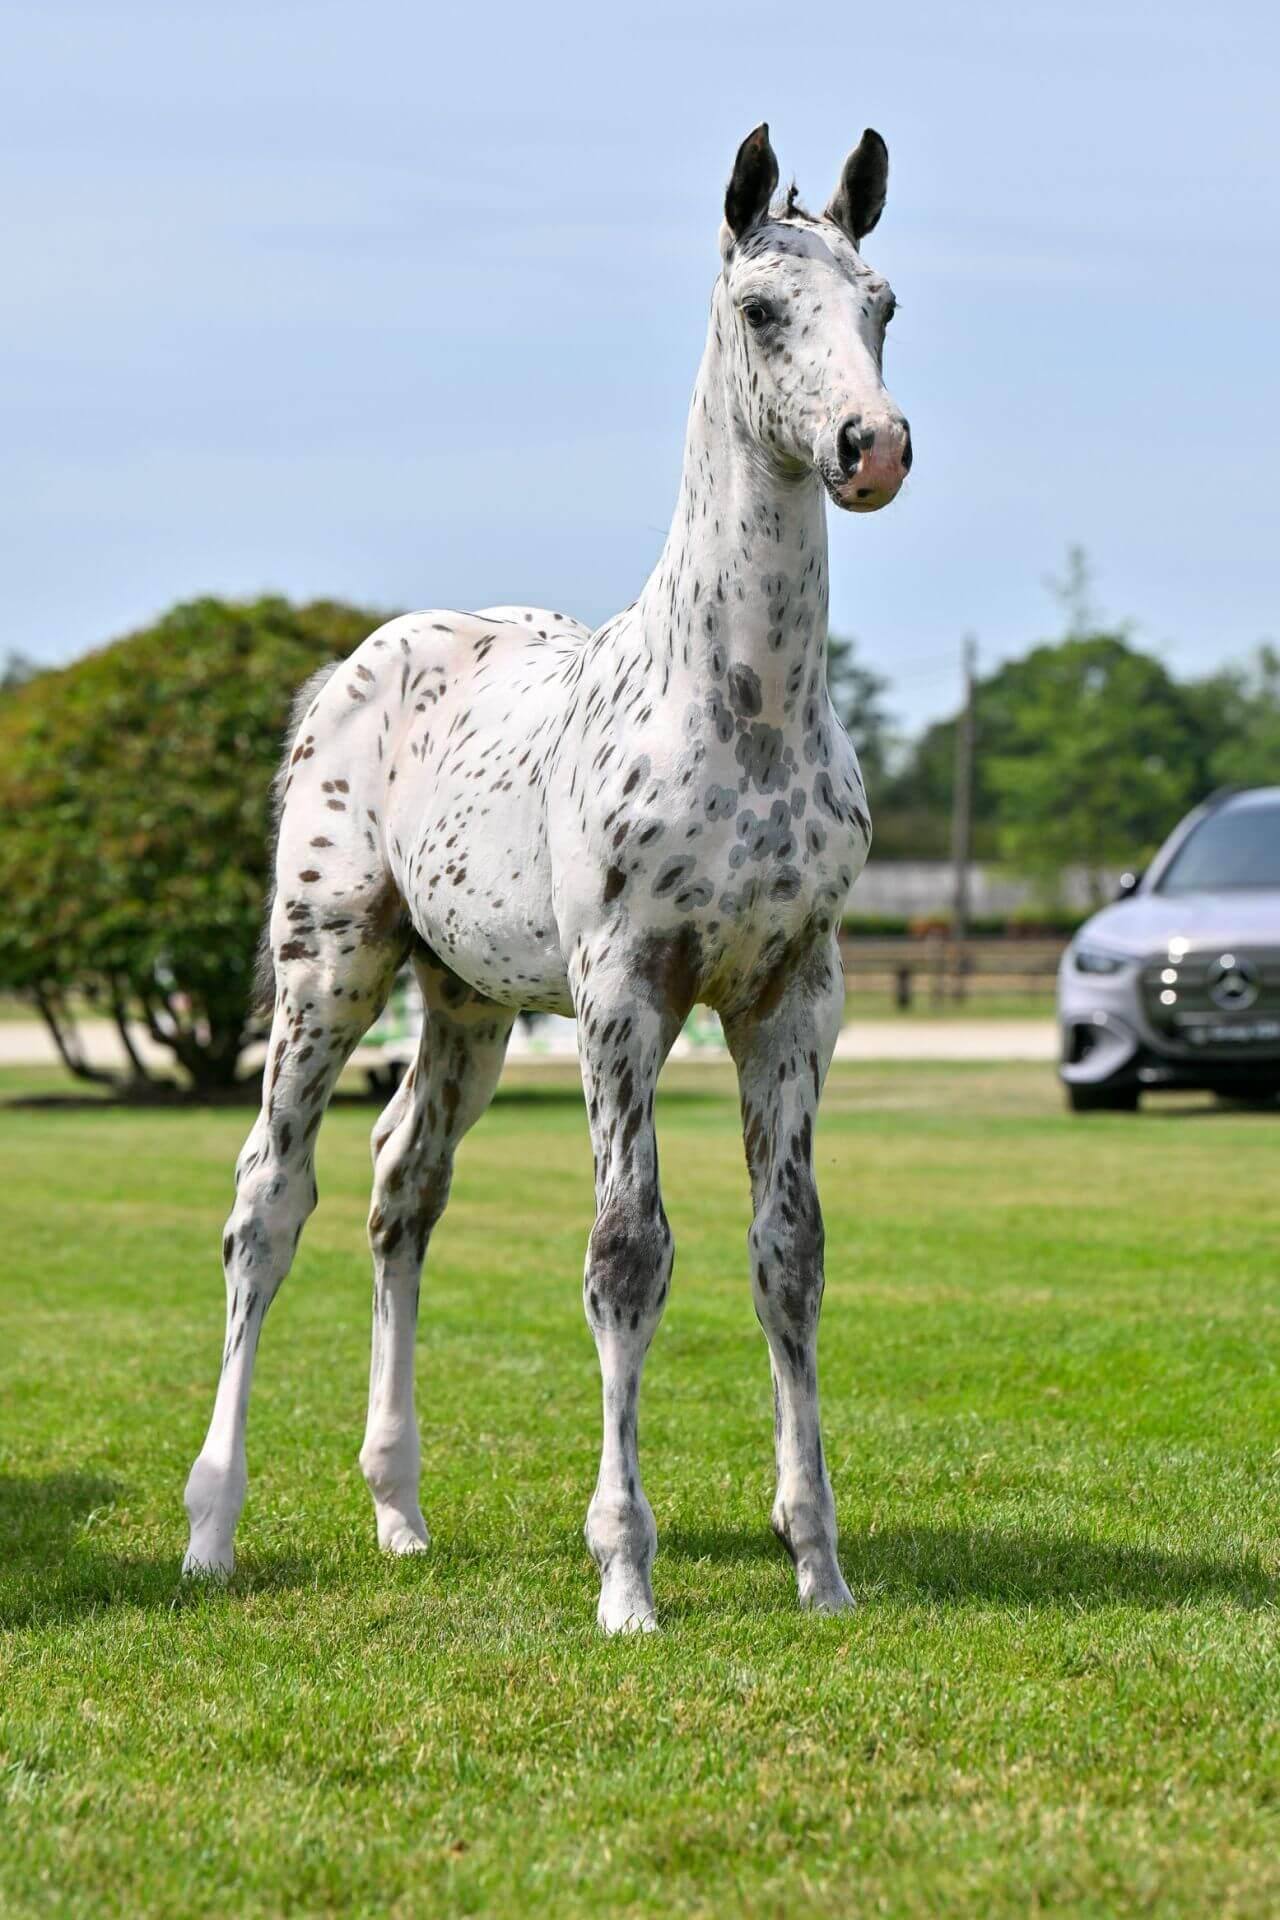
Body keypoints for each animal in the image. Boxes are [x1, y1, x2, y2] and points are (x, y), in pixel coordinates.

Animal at [183, 122, 912, 1631]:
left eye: (882, 305)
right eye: (763, 309)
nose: (871, 446)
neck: (738, 711)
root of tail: (347, 669)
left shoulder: (793, 998)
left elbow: (789, 1256)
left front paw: (818, 1564)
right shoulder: (625, 991)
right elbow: (626, 1254)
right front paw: (625, 1575)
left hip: (465, 1004)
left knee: (404, 1189)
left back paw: (399, 1511)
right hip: (329, 968)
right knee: (268, 1202)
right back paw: (211, 1528)